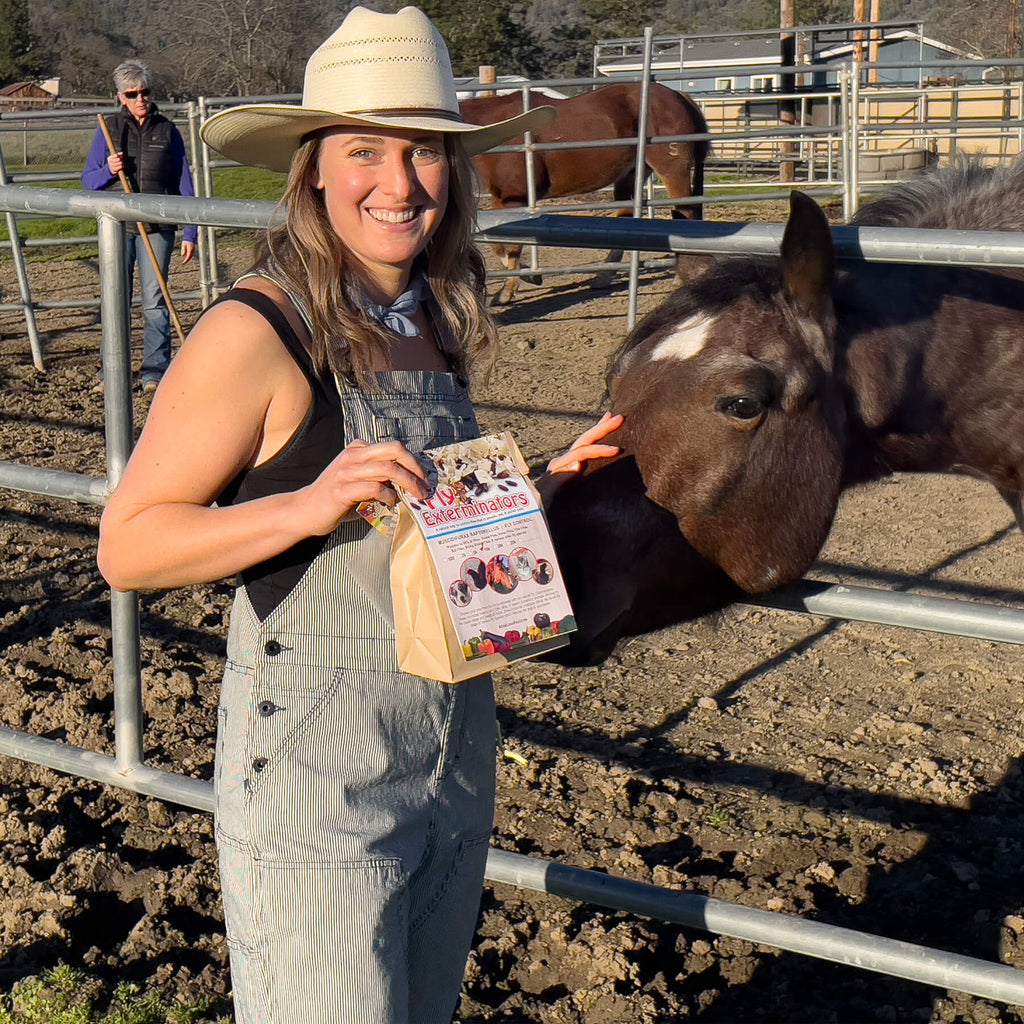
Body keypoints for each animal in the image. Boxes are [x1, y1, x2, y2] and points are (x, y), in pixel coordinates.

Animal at [460, 80, 708, 303]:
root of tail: (678, 96)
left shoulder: (515, 198)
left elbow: (511, 246)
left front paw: (506, 293)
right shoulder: (500, 198)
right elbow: (497, 245)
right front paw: (531, 276)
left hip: (673, 172)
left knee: (687, 215)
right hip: (629, 176)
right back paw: (602, 278)